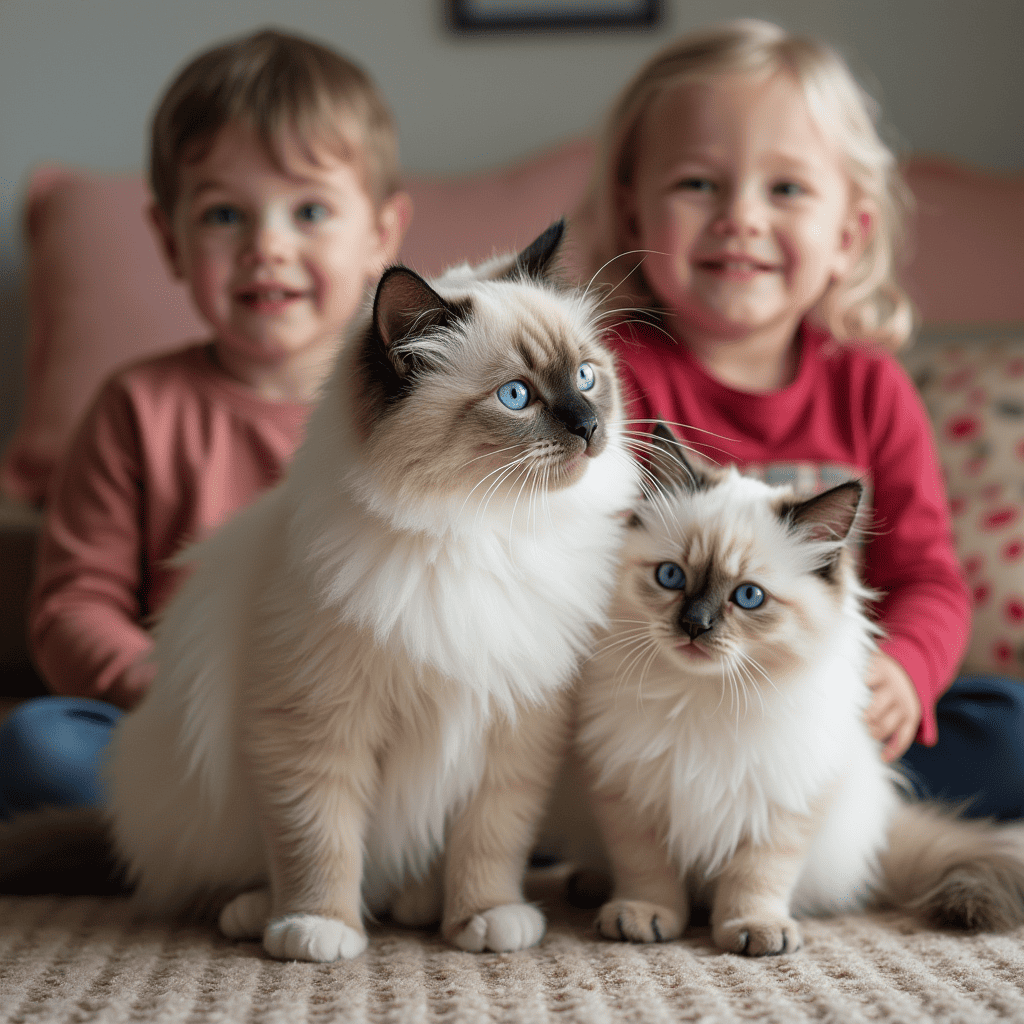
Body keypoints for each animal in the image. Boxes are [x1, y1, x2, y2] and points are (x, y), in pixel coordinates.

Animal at [573, 421, 1024, 950]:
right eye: (670, 577)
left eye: (749, 597)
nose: (694, 626)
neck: (702, 698)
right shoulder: (628, 793)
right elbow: (647, 873)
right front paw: (644, 916)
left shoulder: (784, 800)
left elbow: (757, 875)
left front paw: (754, 930)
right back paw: (588, 884)